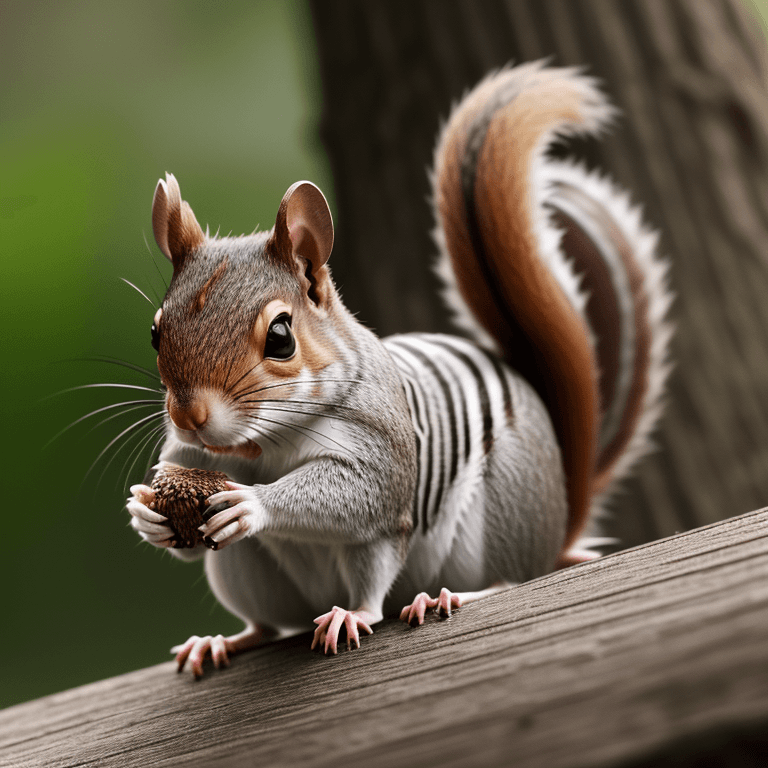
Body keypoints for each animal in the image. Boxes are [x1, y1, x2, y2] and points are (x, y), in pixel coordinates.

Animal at [126, 61, 672, 677]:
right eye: (155, 332)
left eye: (281, 337)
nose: (191, 416)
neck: (263, 445)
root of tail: (559, 516)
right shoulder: (190, 456)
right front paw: (146, 514)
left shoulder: (380, 447)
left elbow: (358, 495)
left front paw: (254, 503)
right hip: (245, 573)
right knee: (266, 624)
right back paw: (222, 640)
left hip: (493, 510)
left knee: (478, 581)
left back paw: (420, 601)